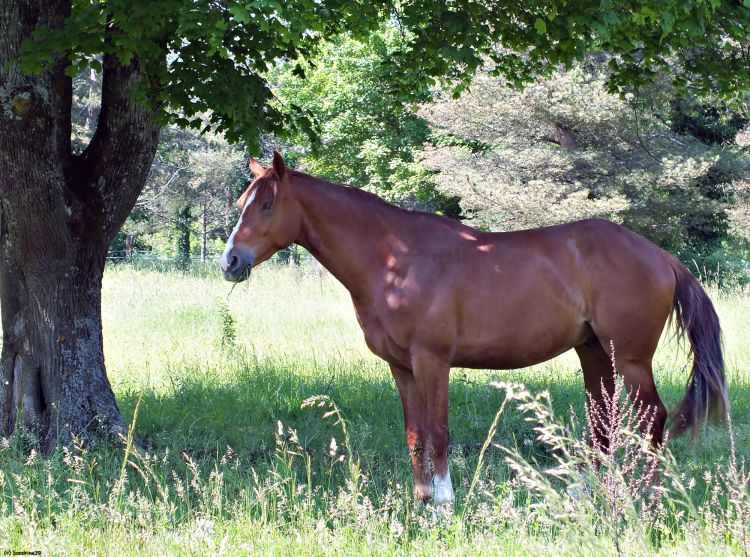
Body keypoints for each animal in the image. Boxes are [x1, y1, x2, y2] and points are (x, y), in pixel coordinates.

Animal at [219, 150, 728, 506]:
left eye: (266, 205)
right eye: (244, 202)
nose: (230, 262)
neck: (396, 261)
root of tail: (659, 255)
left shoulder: (432, 361)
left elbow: (438, 433)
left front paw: (445, 504)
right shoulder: (402, 368)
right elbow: (415, 436)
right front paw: (421, 503)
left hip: (632, 359)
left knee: (652, 419)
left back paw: (649, 497)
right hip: (595, 352)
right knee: (602, 423)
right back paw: (589, 494)